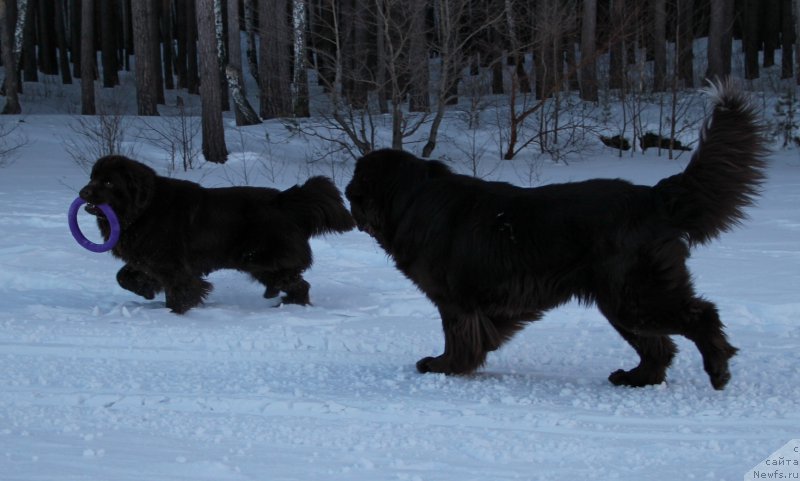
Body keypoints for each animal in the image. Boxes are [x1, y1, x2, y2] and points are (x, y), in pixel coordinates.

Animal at [80, 156, 354, 316]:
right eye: (92, 177)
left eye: (108, 182)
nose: (83, 192)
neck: (144, 208)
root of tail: (285, 200)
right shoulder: (148, 259)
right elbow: (123, 276)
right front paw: (146, 291)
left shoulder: (173, 265)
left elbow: (181, 290)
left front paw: (175, 312)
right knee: (297, 283)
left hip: (258, 258)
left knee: (297, 282)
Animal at [346, 81, 768, 390]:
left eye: (356, 181)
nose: (347, 193)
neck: (410, 199)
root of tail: (652, 196)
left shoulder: (454, 300)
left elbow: (458, 335)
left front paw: (443, 365)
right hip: (621, 300)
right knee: (658, 346)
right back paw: (635, 378)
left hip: (633, 293)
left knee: (700, 315)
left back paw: (718, 369)